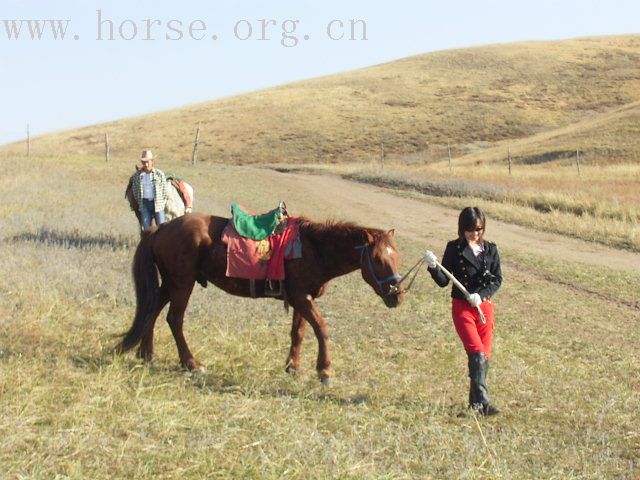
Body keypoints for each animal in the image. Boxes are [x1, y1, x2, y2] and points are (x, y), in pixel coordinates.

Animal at [116, 212, 404, 384]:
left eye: (397, 256)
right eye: (378, 259)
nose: (397, 295)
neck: (314, 248)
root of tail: (161, 227)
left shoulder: (301, 298)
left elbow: (298, 333)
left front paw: (293, 367)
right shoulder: (302, 298)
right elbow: (321, 329)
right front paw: (324, 370)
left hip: (171, 283)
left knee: (151, 311)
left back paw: (146, 354)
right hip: (182, 284)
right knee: (174, 320)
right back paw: (191, 363)